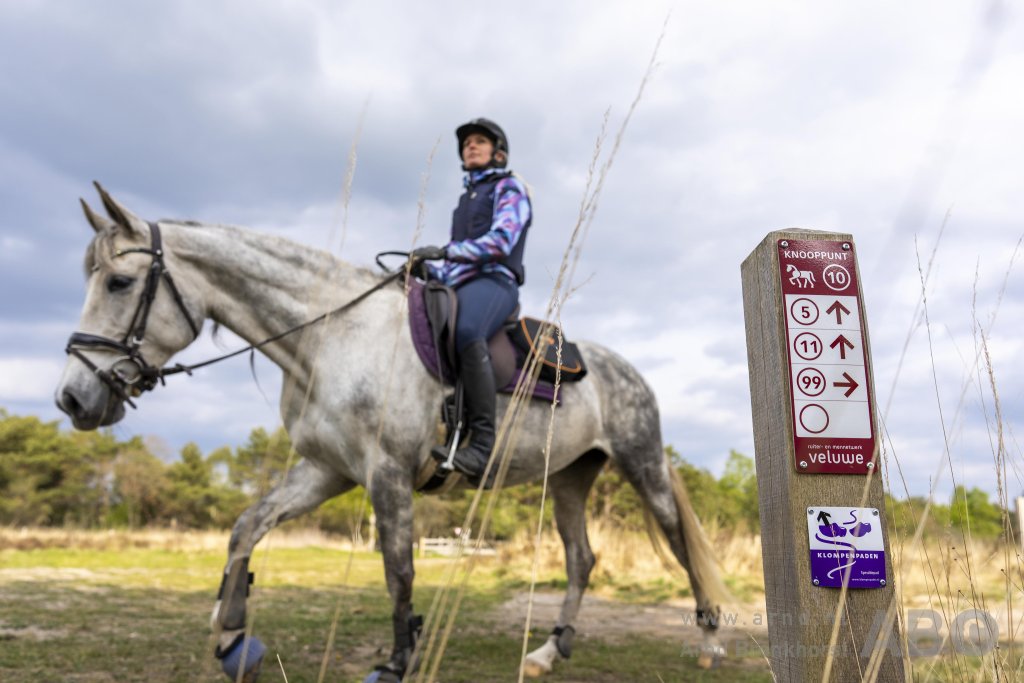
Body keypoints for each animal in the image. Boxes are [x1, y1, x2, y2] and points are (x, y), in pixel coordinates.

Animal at [56, 184, 729, 679]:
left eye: (118, 283)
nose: (72, 398)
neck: (330, 336)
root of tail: (625, 370)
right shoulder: (327, 471)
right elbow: (247, 527)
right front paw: (230, 632)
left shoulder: (387, 473)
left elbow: (398, 571)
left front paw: (398, 661)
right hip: (567, 478)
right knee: (581, 558)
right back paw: (546, 651)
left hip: (642, 465)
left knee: (677, 541)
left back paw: (709, 641)